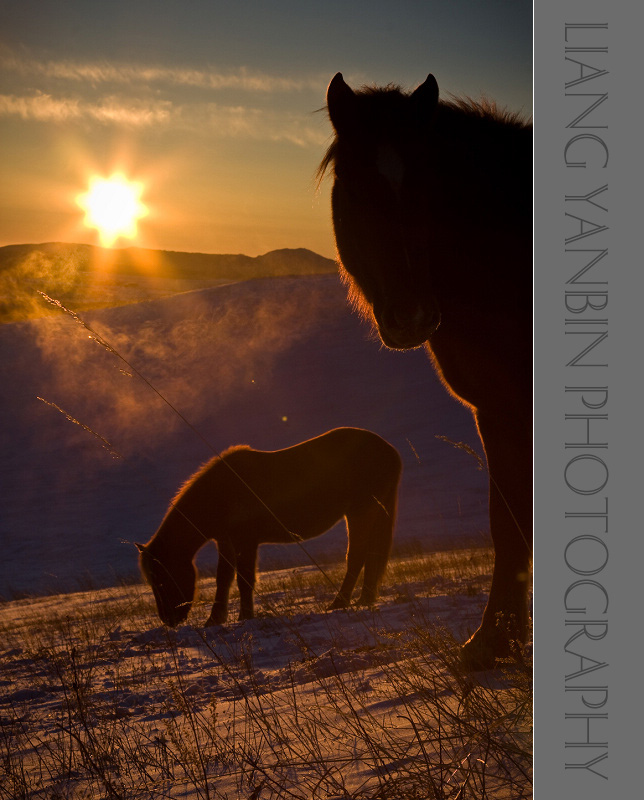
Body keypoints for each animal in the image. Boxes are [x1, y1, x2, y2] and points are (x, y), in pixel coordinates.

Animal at [138, 428, 400, 628]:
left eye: (161, 579)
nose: (169, 620)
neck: (222, 492)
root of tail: (389, 450)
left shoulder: (245, 541)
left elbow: (244, 579)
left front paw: (245, 616)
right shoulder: (226, 541)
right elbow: (223, 579)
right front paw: (215, 619)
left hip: (360, 512)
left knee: (356, 556)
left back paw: (341, 602)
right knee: (371, 556)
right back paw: (364, 599)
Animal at [322, 73, 532, 668]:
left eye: (428, 183)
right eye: (351, 184)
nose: (412, 314)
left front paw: (493, 640)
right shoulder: (498, 410)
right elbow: (509, 521)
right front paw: (498, 638)